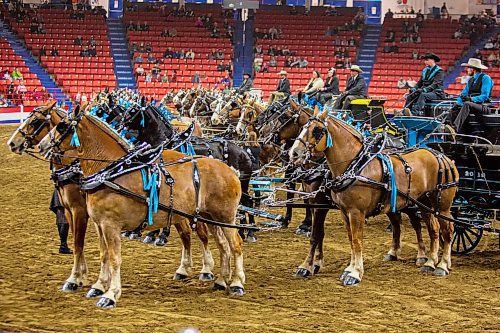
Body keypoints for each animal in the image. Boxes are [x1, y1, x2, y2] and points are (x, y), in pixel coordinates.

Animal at [5, 102, 217, 298]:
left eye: (35, 121)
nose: (13, 143)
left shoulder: (79, 210)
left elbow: (79, 243)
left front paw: (75, 279)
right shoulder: (70, 210)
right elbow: (83, 242)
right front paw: (86, 277)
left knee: (201, 232)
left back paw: (206, 269)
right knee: (186, 234)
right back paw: (183, 267)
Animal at [290, 109, 458, 286]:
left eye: (317, 130)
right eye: (302, 127)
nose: (294, 153)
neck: (356, 166)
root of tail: (443, 157)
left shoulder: (354, 212)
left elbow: (355, 241)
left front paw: (354, 273)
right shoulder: (342, 211)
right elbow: (349, 239)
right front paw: (345, 269)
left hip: (441, 206)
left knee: (446, 230)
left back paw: (442, 264)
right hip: (422, 203)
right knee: (432, 229)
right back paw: (429, 262)